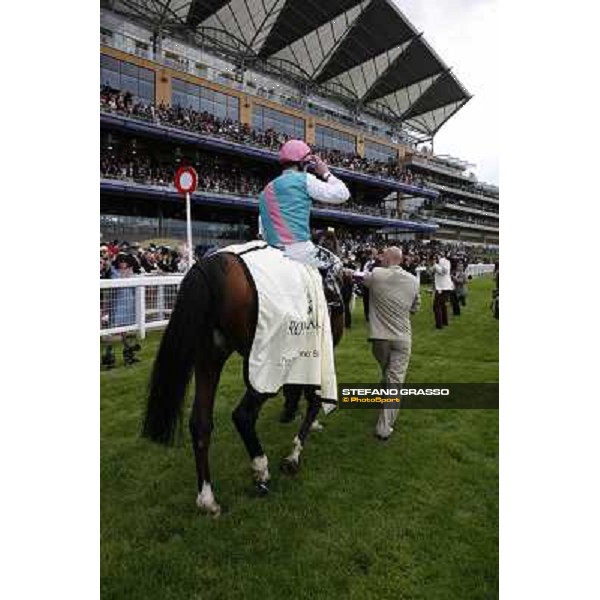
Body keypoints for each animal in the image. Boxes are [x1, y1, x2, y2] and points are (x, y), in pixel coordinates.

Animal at [142, 248, 342, 516]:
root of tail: (210, 265)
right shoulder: (314, 354)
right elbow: (314, 399)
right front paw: (294, 455)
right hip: (265, 362)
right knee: (243, 415)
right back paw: (261, 470)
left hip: (210, 357)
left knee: (200, 423)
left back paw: (207, 499)